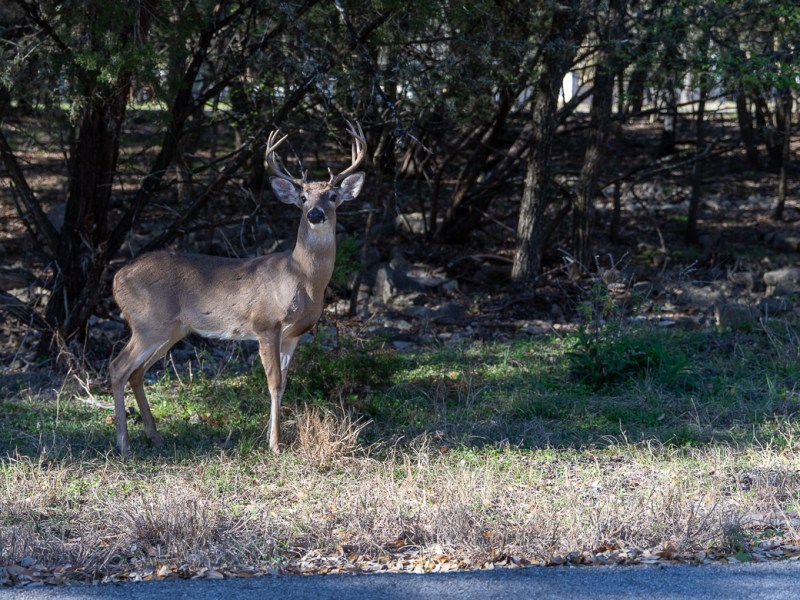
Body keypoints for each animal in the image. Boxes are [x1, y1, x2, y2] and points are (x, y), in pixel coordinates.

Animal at [108, 124, 368, 458]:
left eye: (333, 196)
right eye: (303, 197)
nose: (315, 214)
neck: (300, 279)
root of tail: (117, 277)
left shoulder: (294, 334)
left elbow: (284, 383)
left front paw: (271, 435)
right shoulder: (266, 324)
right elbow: (273, 382)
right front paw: (275, 444)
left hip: (171, 330)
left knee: (136, 372)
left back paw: (155, 437)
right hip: (148, 322)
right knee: (118, 367)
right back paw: (123, 444)